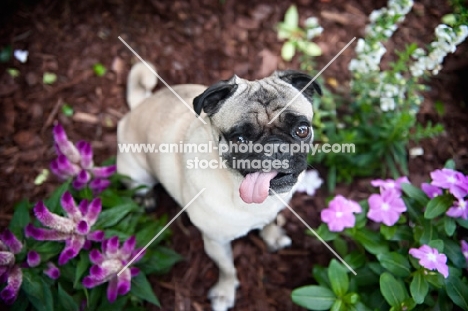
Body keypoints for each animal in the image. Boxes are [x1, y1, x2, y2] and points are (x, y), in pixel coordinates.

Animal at [117, 62, 322, 311]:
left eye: (302, 130)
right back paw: (145, 198)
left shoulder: (271, 212)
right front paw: (225, 292)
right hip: (136, 171)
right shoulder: (216, 242)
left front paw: (272, 236)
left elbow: (269, 222)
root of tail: (139, 106)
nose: (275, 147)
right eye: (240, 139)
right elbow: (227, 268)